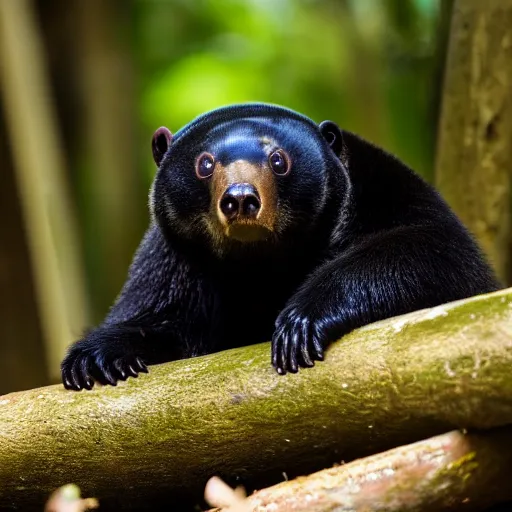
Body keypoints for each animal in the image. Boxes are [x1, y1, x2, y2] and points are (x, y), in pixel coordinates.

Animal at [60, 104, 500, 392]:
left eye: (278, 159)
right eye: (205, 163)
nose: (240, 198)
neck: (263, 269)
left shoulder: (387, 190)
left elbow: (436, 253)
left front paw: (298, 326)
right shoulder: (170, 261)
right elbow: (161, 317)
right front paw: (95, 358)